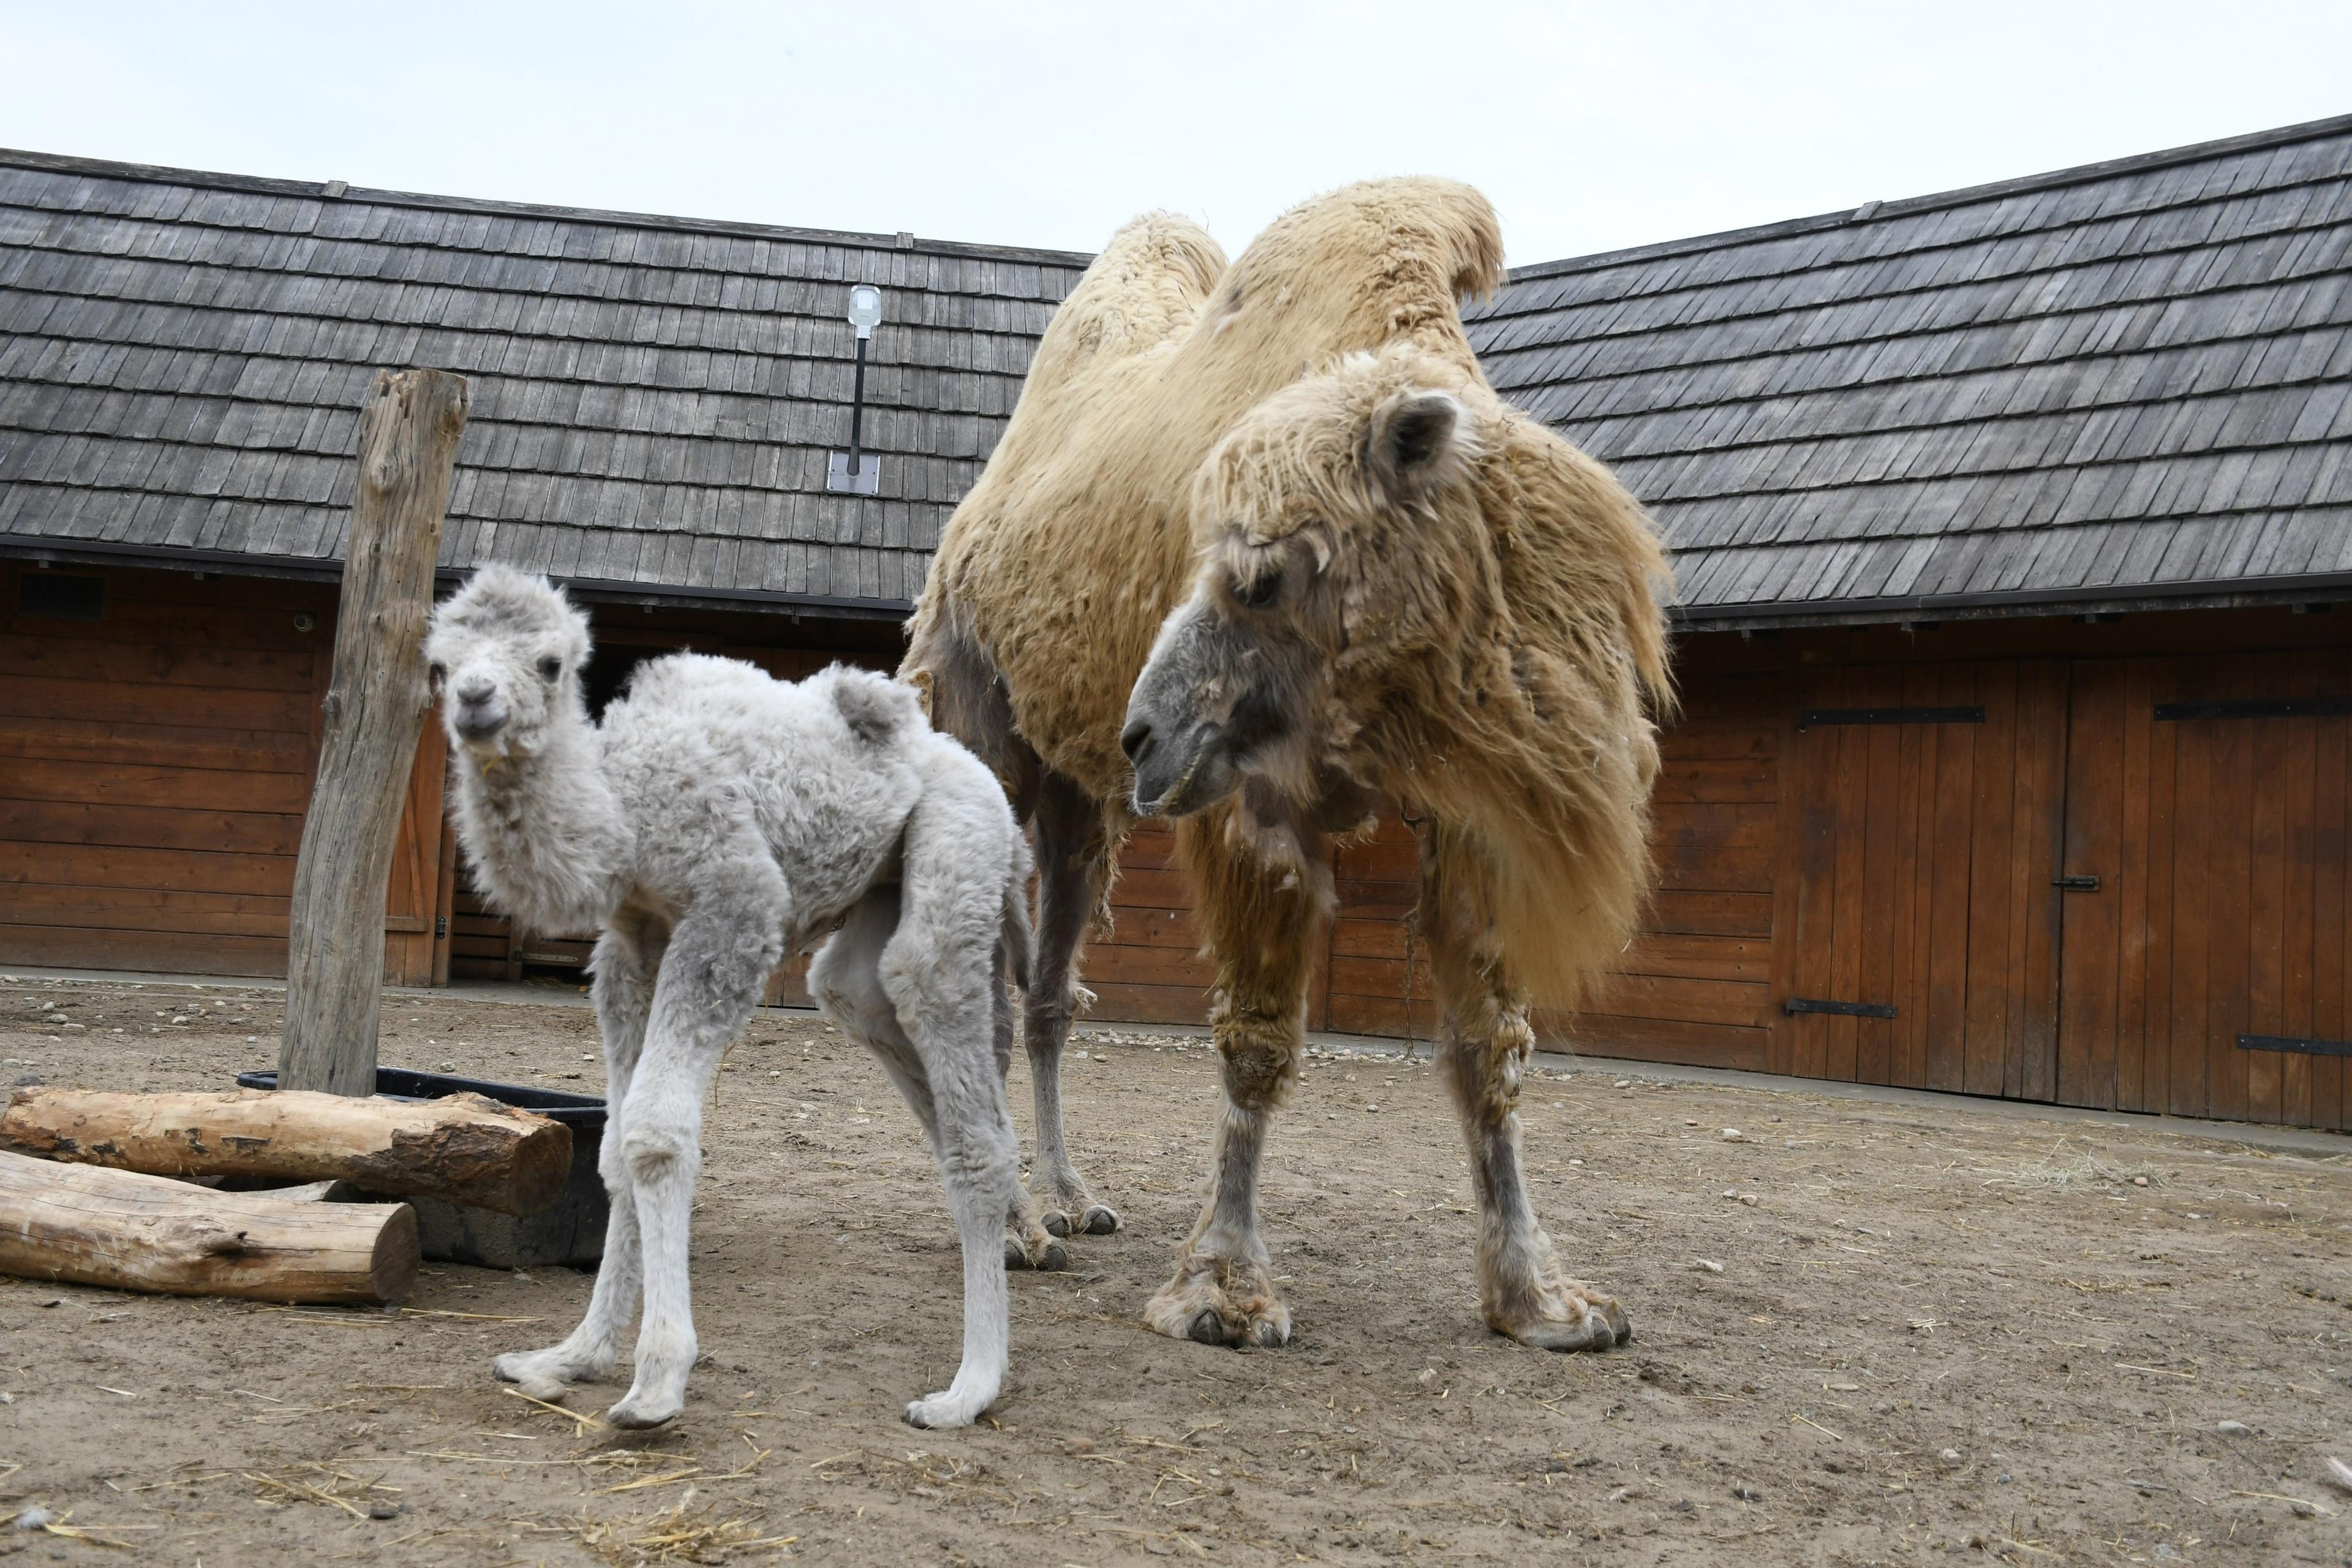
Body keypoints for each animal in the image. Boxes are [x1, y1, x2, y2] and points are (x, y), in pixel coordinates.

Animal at [426, 566, 1049, 1438]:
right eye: (441, 664)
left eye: (549, 663)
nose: (477, 702)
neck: (625, 805)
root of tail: (980, 778)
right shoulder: (632, 942)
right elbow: (612, 1148)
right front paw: (570, 1355)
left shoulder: (733, 906)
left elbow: (655, 1136)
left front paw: (656, 1383)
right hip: (877, 909)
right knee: (873, 1009)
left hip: (956, 851)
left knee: (958, 1086)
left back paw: (969, 1388)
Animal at [898, 175, 1675, 1354]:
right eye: (1220, 561)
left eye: (1264, 579)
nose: (1145, 732)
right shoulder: (1251, 799)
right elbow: (1257, 1039)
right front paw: (1224, 1291)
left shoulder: (1466, 811)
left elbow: (1489, 1044)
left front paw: (1543, 1300)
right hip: (977, 717)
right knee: (982, 983)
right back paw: (1016, 1225)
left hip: (1082, 807)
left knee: (1048, 988)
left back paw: (1071, 1199)